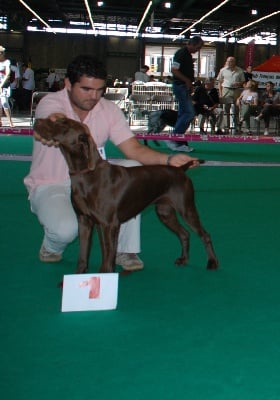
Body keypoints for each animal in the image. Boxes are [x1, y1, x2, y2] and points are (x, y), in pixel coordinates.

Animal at [34, 117, 219, 274]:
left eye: (63, 123)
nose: (36, 120)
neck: (86, 175)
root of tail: (180, 169)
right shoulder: (85, 221)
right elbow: (83, 256)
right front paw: (79, 277)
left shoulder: (109, 225)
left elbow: (108, 258)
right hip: (165, 212)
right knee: (184, 234)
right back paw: (183, 259)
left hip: (186, 209)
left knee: (205, 234)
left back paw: (212, 262)